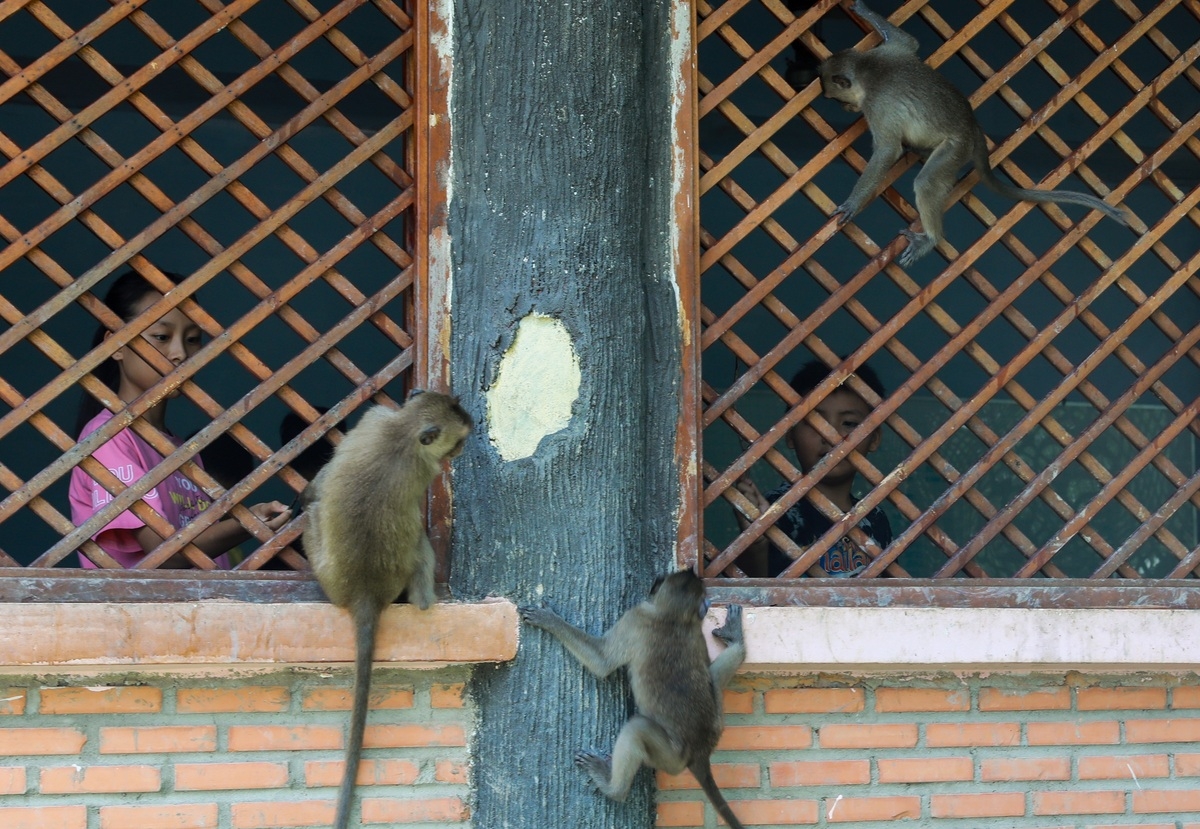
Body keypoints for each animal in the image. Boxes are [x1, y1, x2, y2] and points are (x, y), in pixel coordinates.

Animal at [303, 390, 473, 829]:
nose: (461, 451)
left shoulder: (379, 423)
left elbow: (321, 483)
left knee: (315, 513)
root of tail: (366, 593)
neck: (402, 431)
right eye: (458, 440)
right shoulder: (382, 423)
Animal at [521, 570, 747, 829]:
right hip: (717, 724)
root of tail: (700, 753)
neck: (673, 616)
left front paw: (550, 620)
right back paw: (737, 642)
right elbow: (706, 669)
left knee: (636, 729)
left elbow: (602, 662)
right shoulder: (695, 632)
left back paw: (612, 787)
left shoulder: (635, 617)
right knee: (713, 678)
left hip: (671, 758)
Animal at [819, 0, 1134, 266]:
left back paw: (931, 239)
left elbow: (887, 151)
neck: (866, 69)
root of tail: (971, 126)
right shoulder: (888, 52)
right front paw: (862, 9)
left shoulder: (877, 106)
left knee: (927, 182)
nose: (845, 108)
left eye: (835, 98)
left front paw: (852, 203)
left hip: (955, 148)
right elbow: (908, 42)